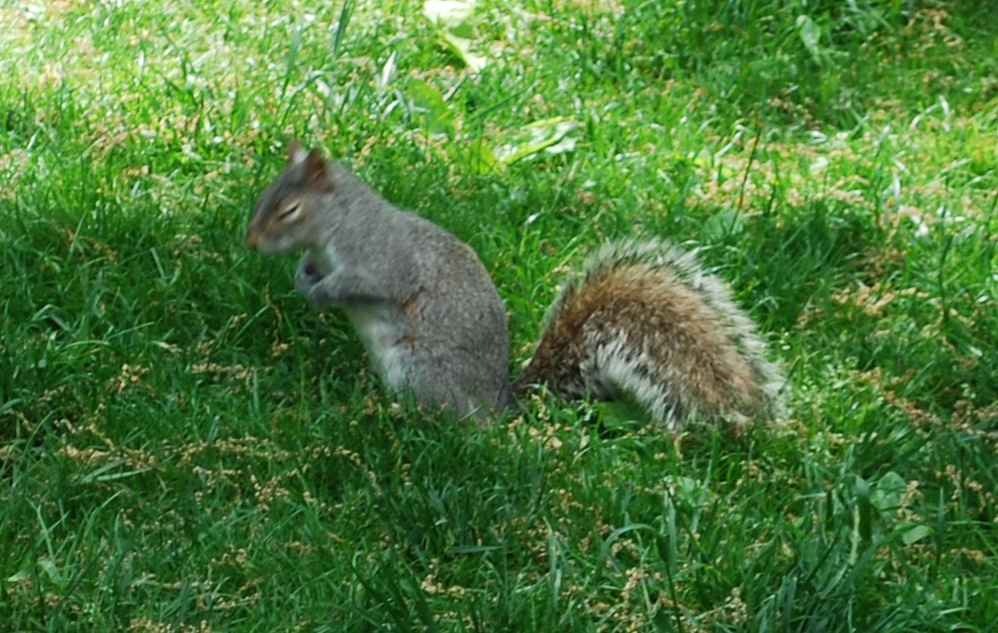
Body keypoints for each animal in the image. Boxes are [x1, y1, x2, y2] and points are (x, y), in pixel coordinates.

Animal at [245, 140, 785, 429]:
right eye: (267, 192)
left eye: (289, 210)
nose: (250, 242)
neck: (338, 227)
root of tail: (500, 403)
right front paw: (303, 275)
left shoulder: (381, 258)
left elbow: (370, 285)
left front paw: (319, 292)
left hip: (420, 371)